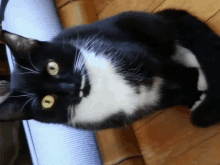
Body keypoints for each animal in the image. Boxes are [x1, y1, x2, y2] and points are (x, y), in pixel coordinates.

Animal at [0, 9, 219, 130]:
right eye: (47, 102)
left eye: (52, 67)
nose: (72, 86)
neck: (98, 86)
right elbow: (169, 98)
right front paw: (191, 97)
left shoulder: (133, 53)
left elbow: (170, 69)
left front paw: (196, 89)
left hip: (145, 27)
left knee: (174, 45)